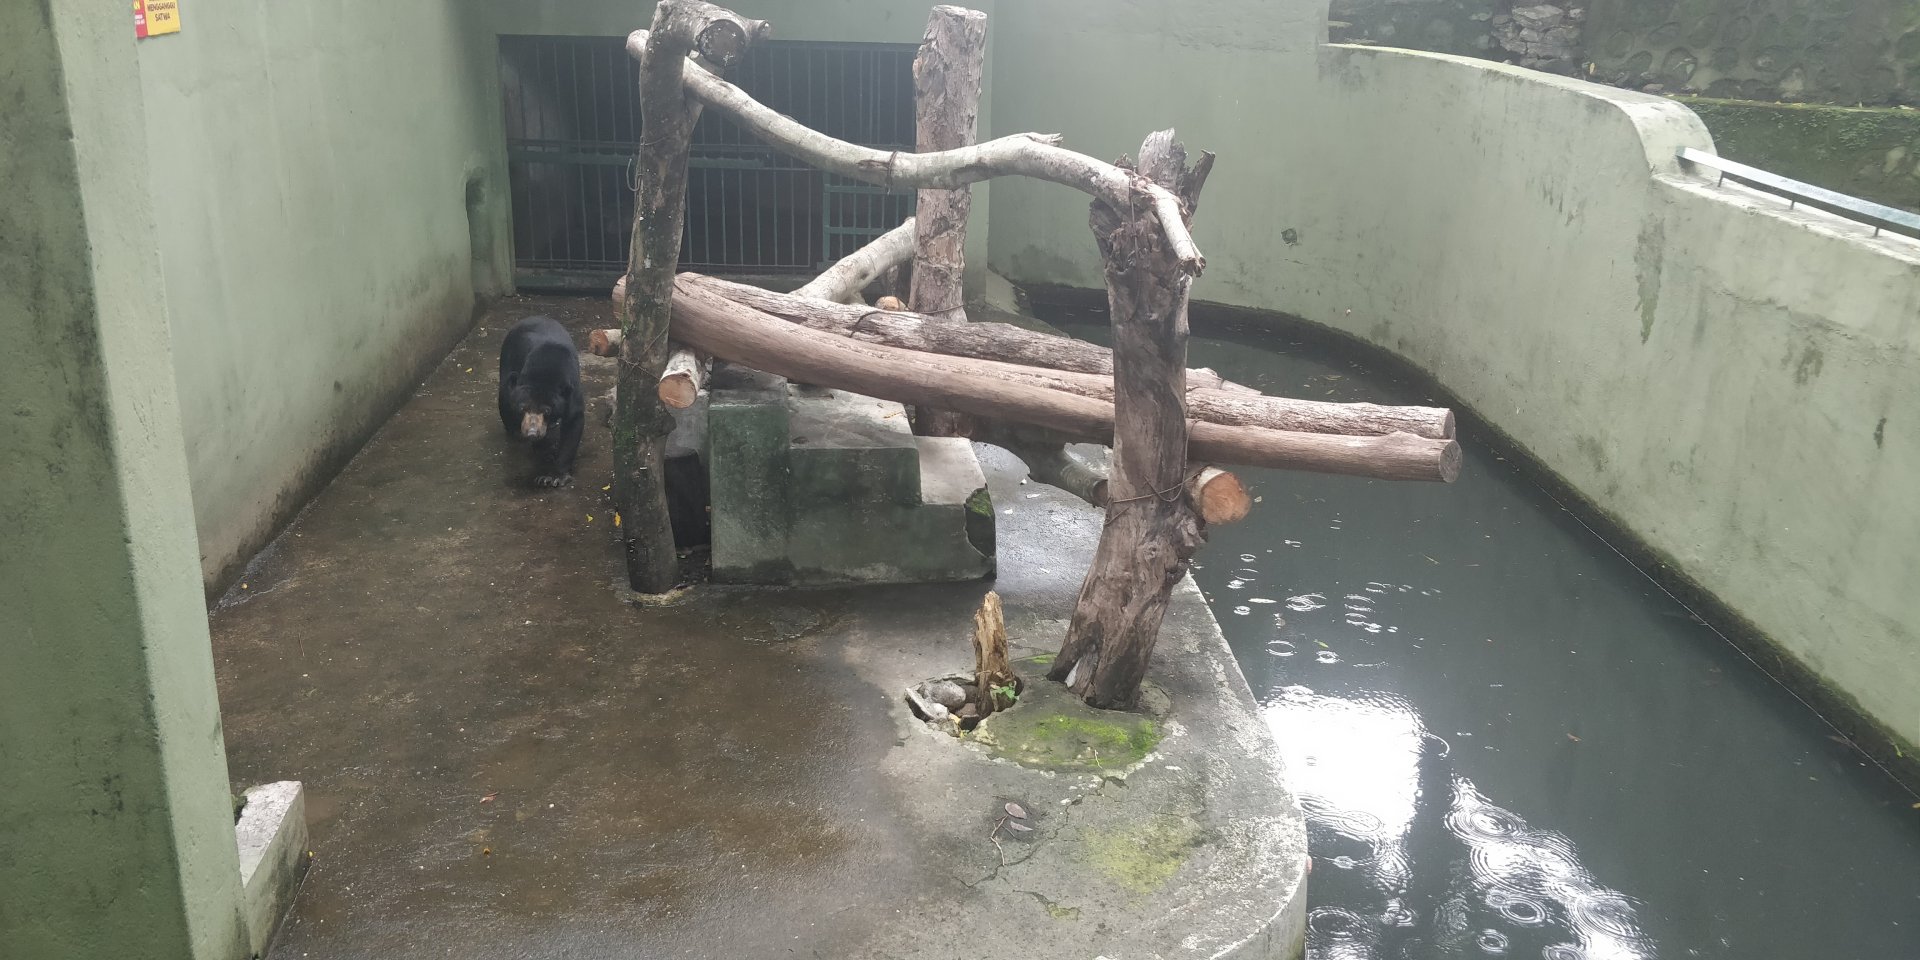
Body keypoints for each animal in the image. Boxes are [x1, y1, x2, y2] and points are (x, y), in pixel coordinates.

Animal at [498, 315, 584, 488]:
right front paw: (547, 454)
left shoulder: (572, 389)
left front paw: (556, 477)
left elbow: (573, 421)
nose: (531, 432)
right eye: (522, 408)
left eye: (547, 410)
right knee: (503, 397)